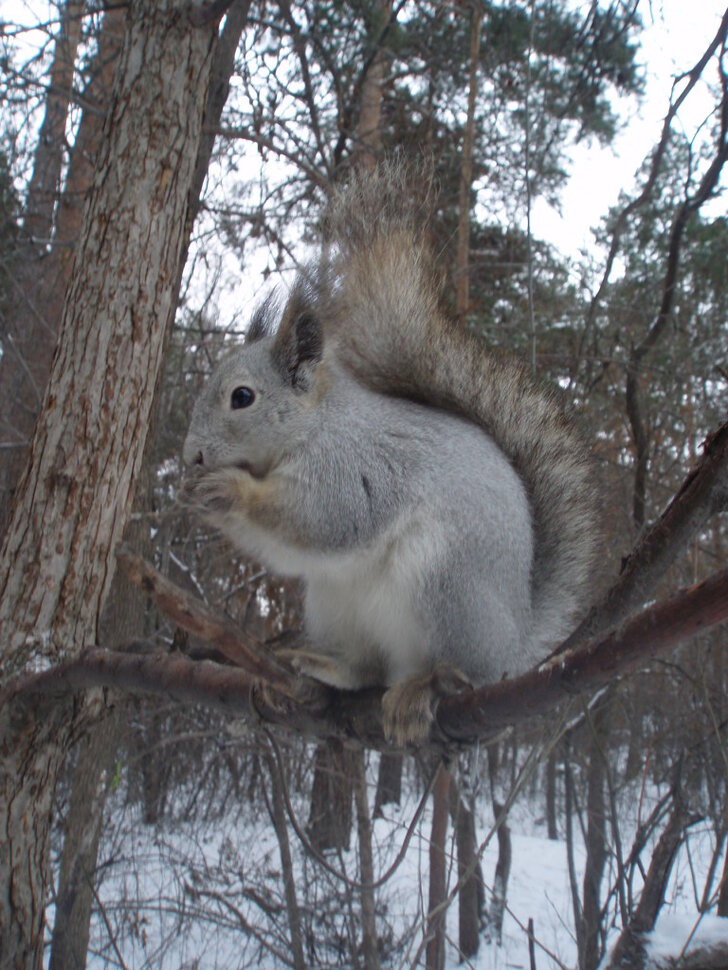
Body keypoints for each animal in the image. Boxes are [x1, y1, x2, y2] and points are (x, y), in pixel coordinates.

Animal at [183, 166, 604, 740]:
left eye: (241, 397)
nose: (192, 456)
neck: (313, 426)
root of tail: (515, 647)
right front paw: (198, 497)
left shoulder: (351, 469)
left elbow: (323, 519)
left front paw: (231, 490)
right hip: (335, 601)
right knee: (366, 669)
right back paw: (320, 666)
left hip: (447, 583)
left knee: (458, 670)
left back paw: (424, 688)